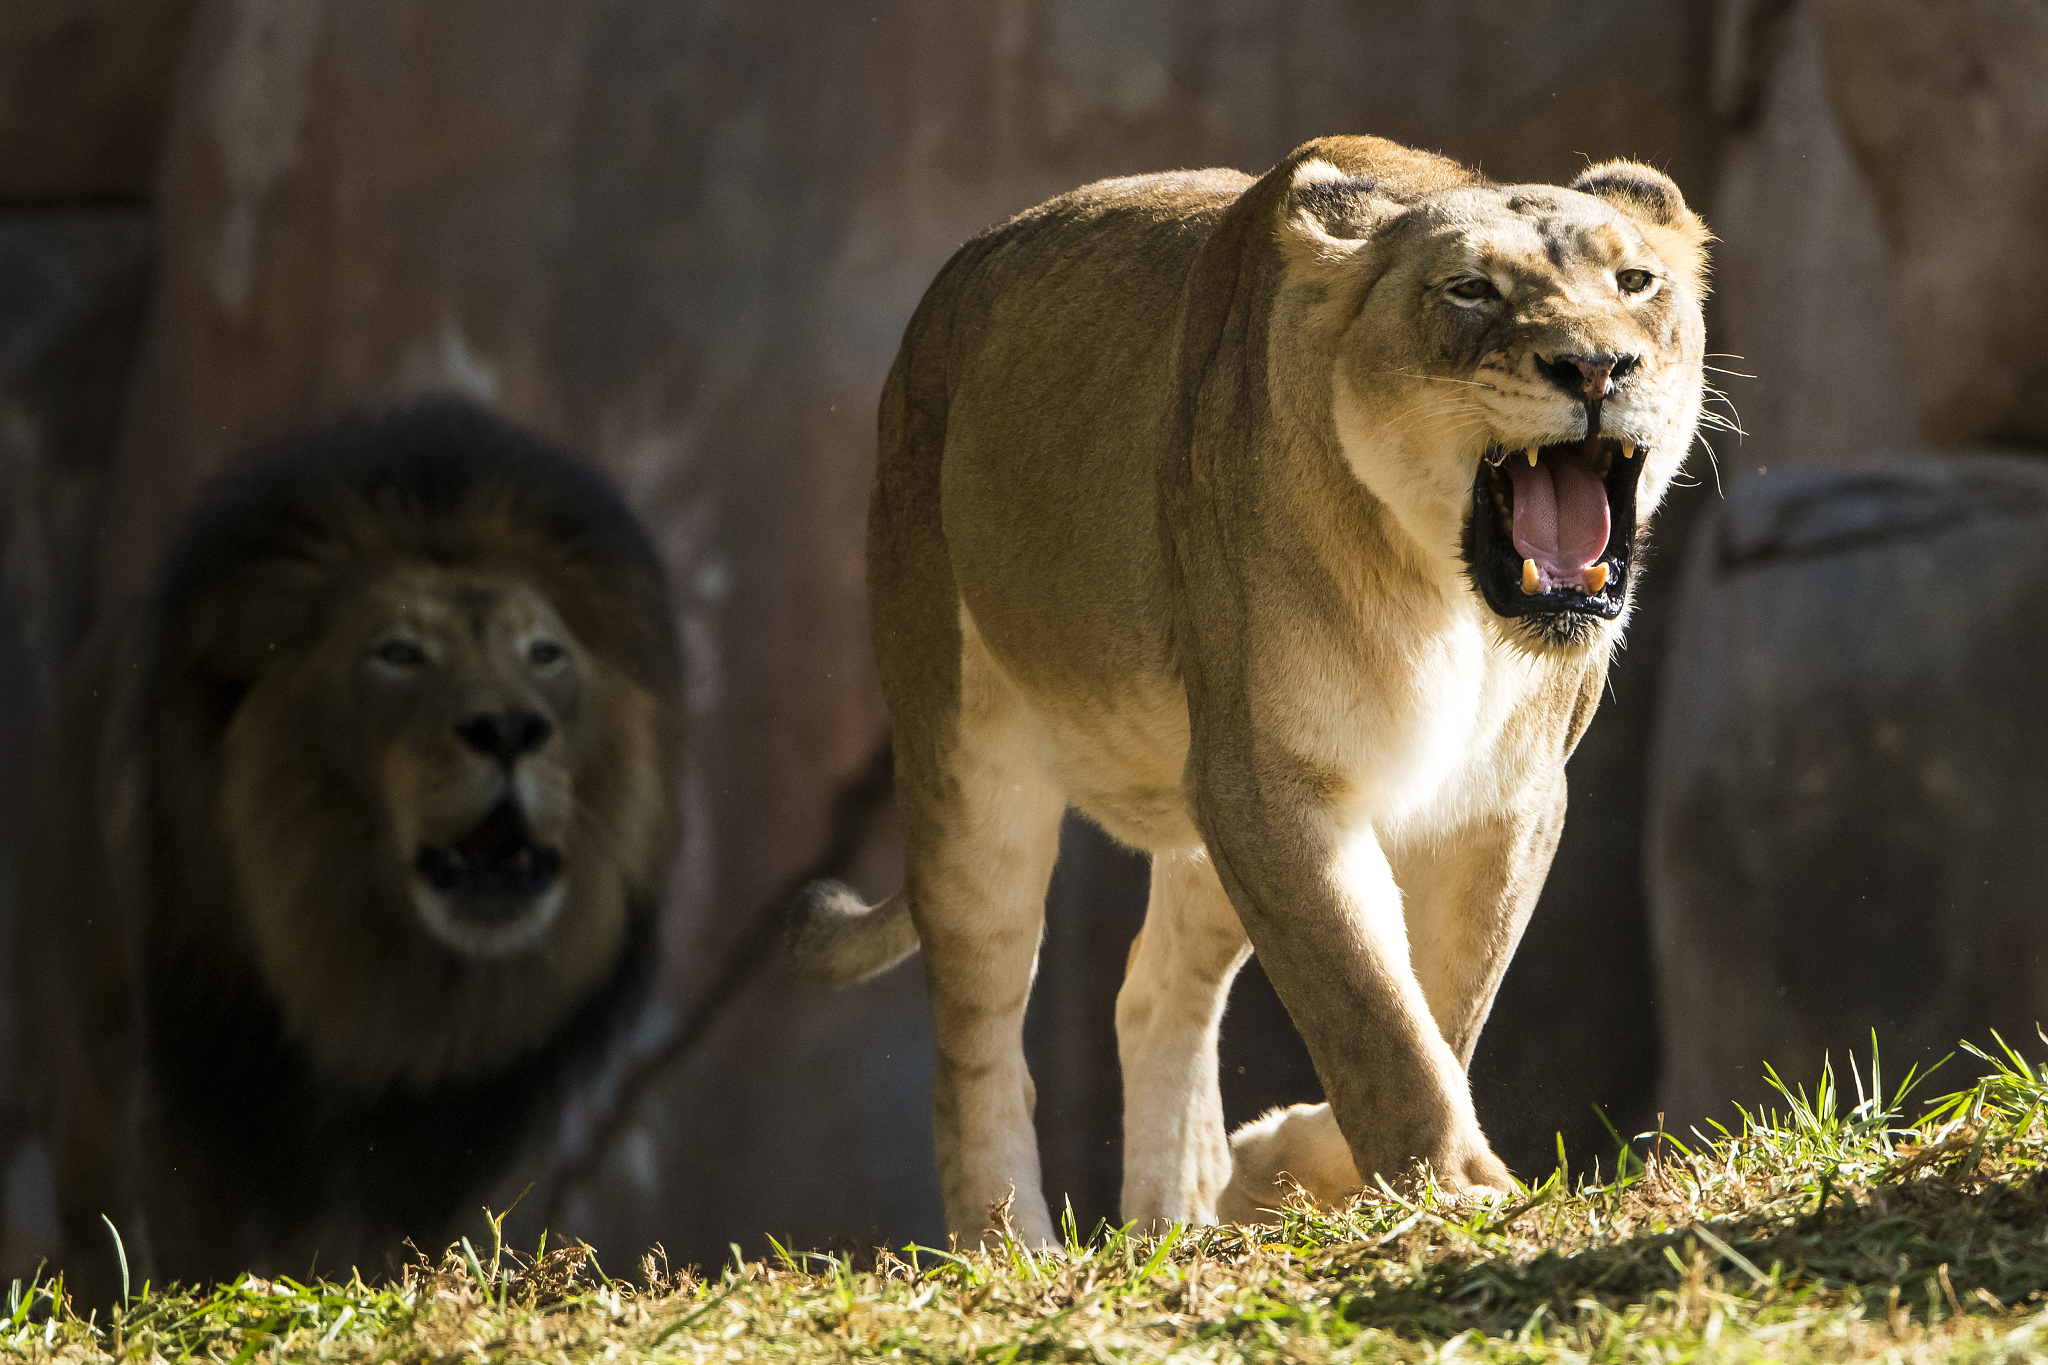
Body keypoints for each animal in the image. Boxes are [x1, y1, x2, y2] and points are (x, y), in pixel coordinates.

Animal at [18, 401, 679, 1301]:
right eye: (398, 652)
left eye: (545, 653)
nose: (511, 728)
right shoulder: (199, 1081)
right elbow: (200, 1244)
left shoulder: (437, 1141)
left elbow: (370, 1249)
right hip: (89, 1040)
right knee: (93, 1215)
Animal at [798, 136, 1712, 1236]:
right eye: (1469, 290)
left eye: (1635, 282)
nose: (1598, 366)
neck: (1449, 603)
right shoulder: (1267, 782)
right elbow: (1370, 1005)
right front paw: (1449, 1183)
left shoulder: (1505, 797)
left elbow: (1446, 1003)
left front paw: (1276, 1167)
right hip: (966, 748)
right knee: (976, 1042)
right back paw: (1013, 1249)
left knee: (1154, 993)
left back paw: (1174, 1217)